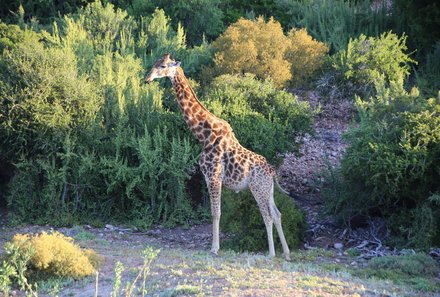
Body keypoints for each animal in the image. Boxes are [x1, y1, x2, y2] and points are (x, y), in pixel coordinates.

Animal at [147, 53, 292, 260]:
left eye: (163, 66)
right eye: (155, 64)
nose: (147, 79)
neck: (203, 135)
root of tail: (272, 171)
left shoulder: (213, 175)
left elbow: (216, 212)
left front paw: (214, 248)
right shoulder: (211, 177)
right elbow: (216, 212)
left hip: (258, 188)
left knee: (268, 215)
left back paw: (271, 254)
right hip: (268, 190)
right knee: (278, 214)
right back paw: (286, 253)